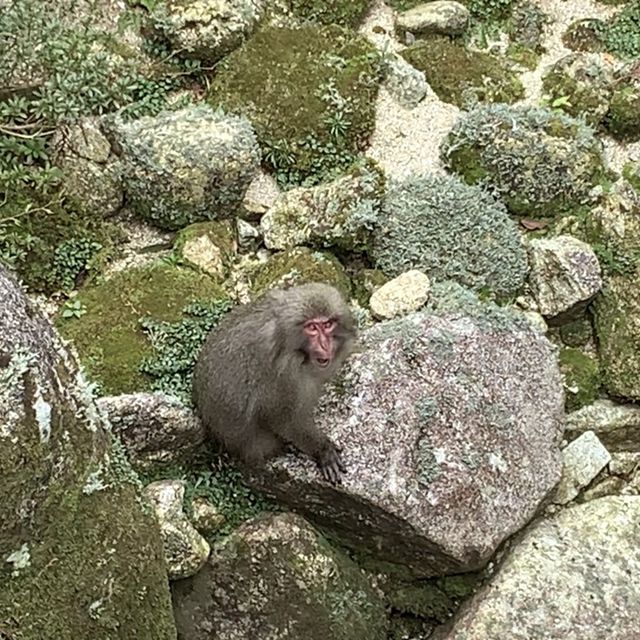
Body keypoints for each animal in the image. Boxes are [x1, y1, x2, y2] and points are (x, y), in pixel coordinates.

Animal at [192, 282, 358, 482]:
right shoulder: (283, 374)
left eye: (328, 324)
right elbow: (282, 419)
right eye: (311, 327)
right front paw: (322, 450)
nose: (325, 345)